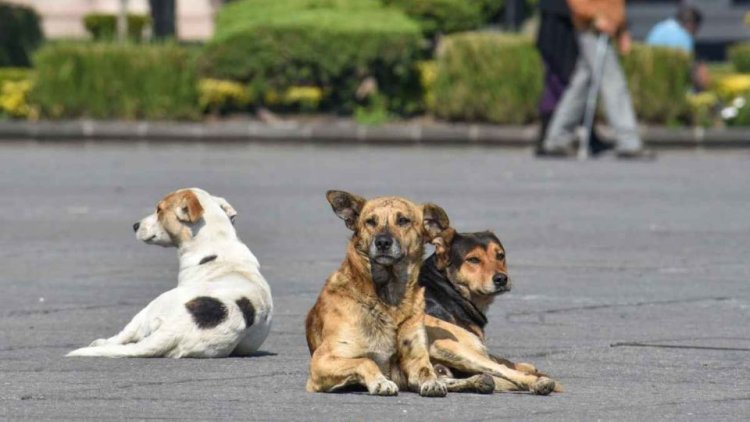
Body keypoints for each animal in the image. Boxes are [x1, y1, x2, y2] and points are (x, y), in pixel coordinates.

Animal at [67, 188, 274, 356]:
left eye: (159, 209)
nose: (135, 225)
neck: (217, 241)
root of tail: (177, 328)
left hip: (151, 307)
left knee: (123, 335)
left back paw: (101, 342)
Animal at [306, 191, 452, 396]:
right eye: (370, 221)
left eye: (403, 220)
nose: (383, 242)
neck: (389, 299)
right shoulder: (322, 360)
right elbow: (365, 360)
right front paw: (381, 382)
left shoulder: (415, 356)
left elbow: (425, 369)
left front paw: (433, 381)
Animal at [420, 229, 560, 394]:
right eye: (473, 260)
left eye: (500, 255)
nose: (501, 279)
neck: (447, 286)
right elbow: (502, 363)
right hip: (452, 347)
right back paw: (539, 382)